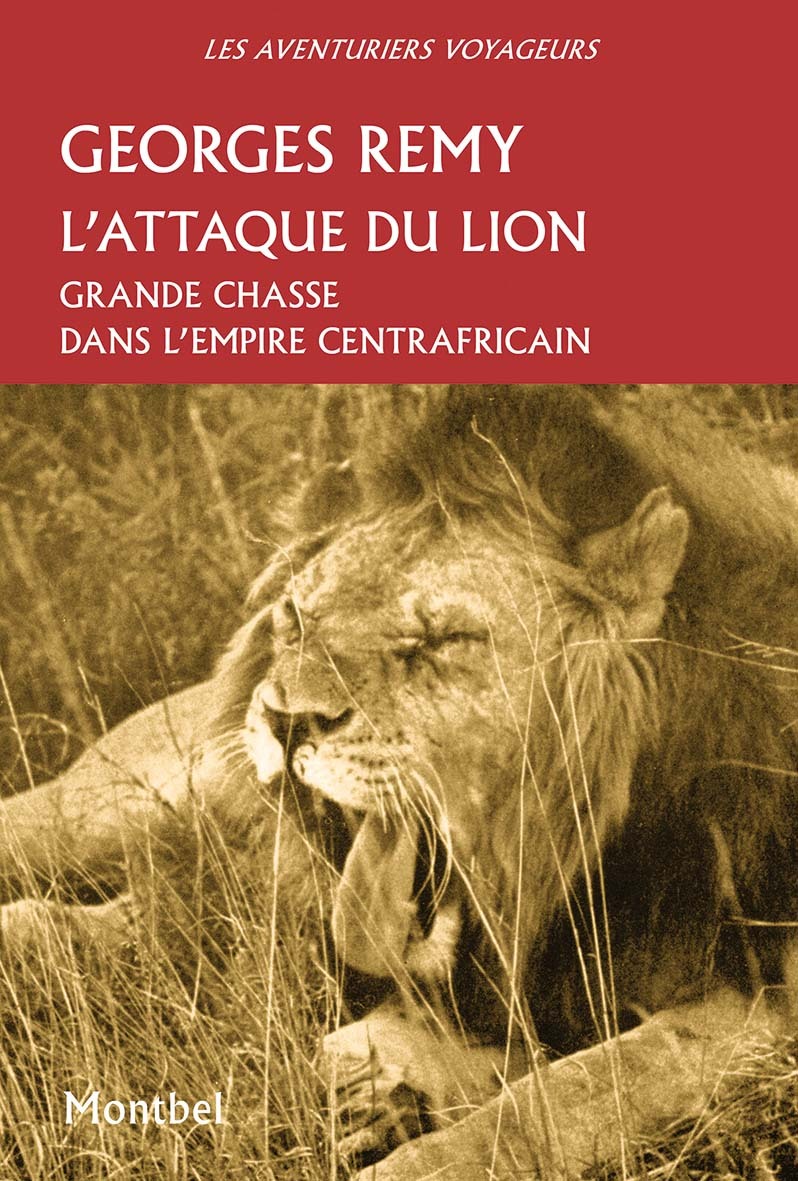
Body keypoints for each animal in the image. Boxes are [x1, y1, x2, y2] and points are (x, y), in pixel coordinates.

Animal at [2, 385, 797, 1177]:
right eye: (295, 616)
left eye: (445, 640)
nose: (288, 718)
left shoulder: (758, 1003)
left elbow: (546, 1102)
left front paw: (391, 1116)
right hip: (105, 809)